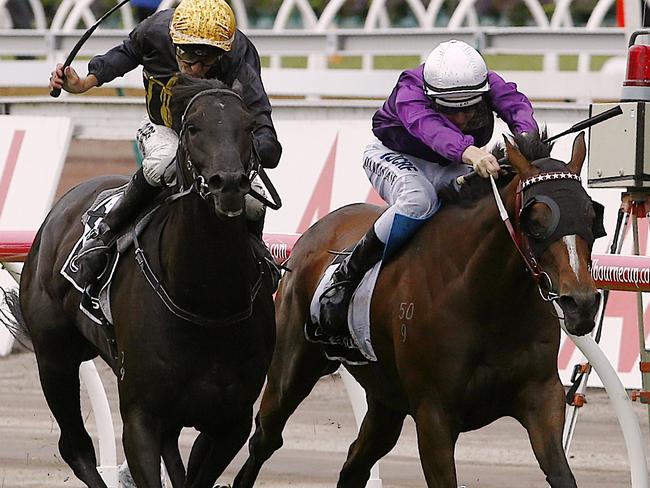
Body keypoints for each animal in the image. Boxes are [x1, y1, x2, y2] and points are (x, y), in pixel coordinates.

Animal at [0, 75, 274, 488]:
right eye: (193, 128)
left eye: (248, 127)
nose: (227, 183)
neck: (207, 303)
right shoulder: (140, 417)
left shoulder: (231, 420)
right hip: (54, 356)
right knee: (75, 447)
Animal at [233, 132, 604, 486]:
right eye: (535, 219)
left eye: (591, 215)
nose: (581, 303)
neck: (487, 299)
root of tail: (313, 233)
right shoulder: (434, 415)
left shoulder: (542, 396)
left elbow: (561, 474)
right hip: (293, 367)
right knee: (265, 439)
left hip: (386, 402)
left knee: (354, 465)